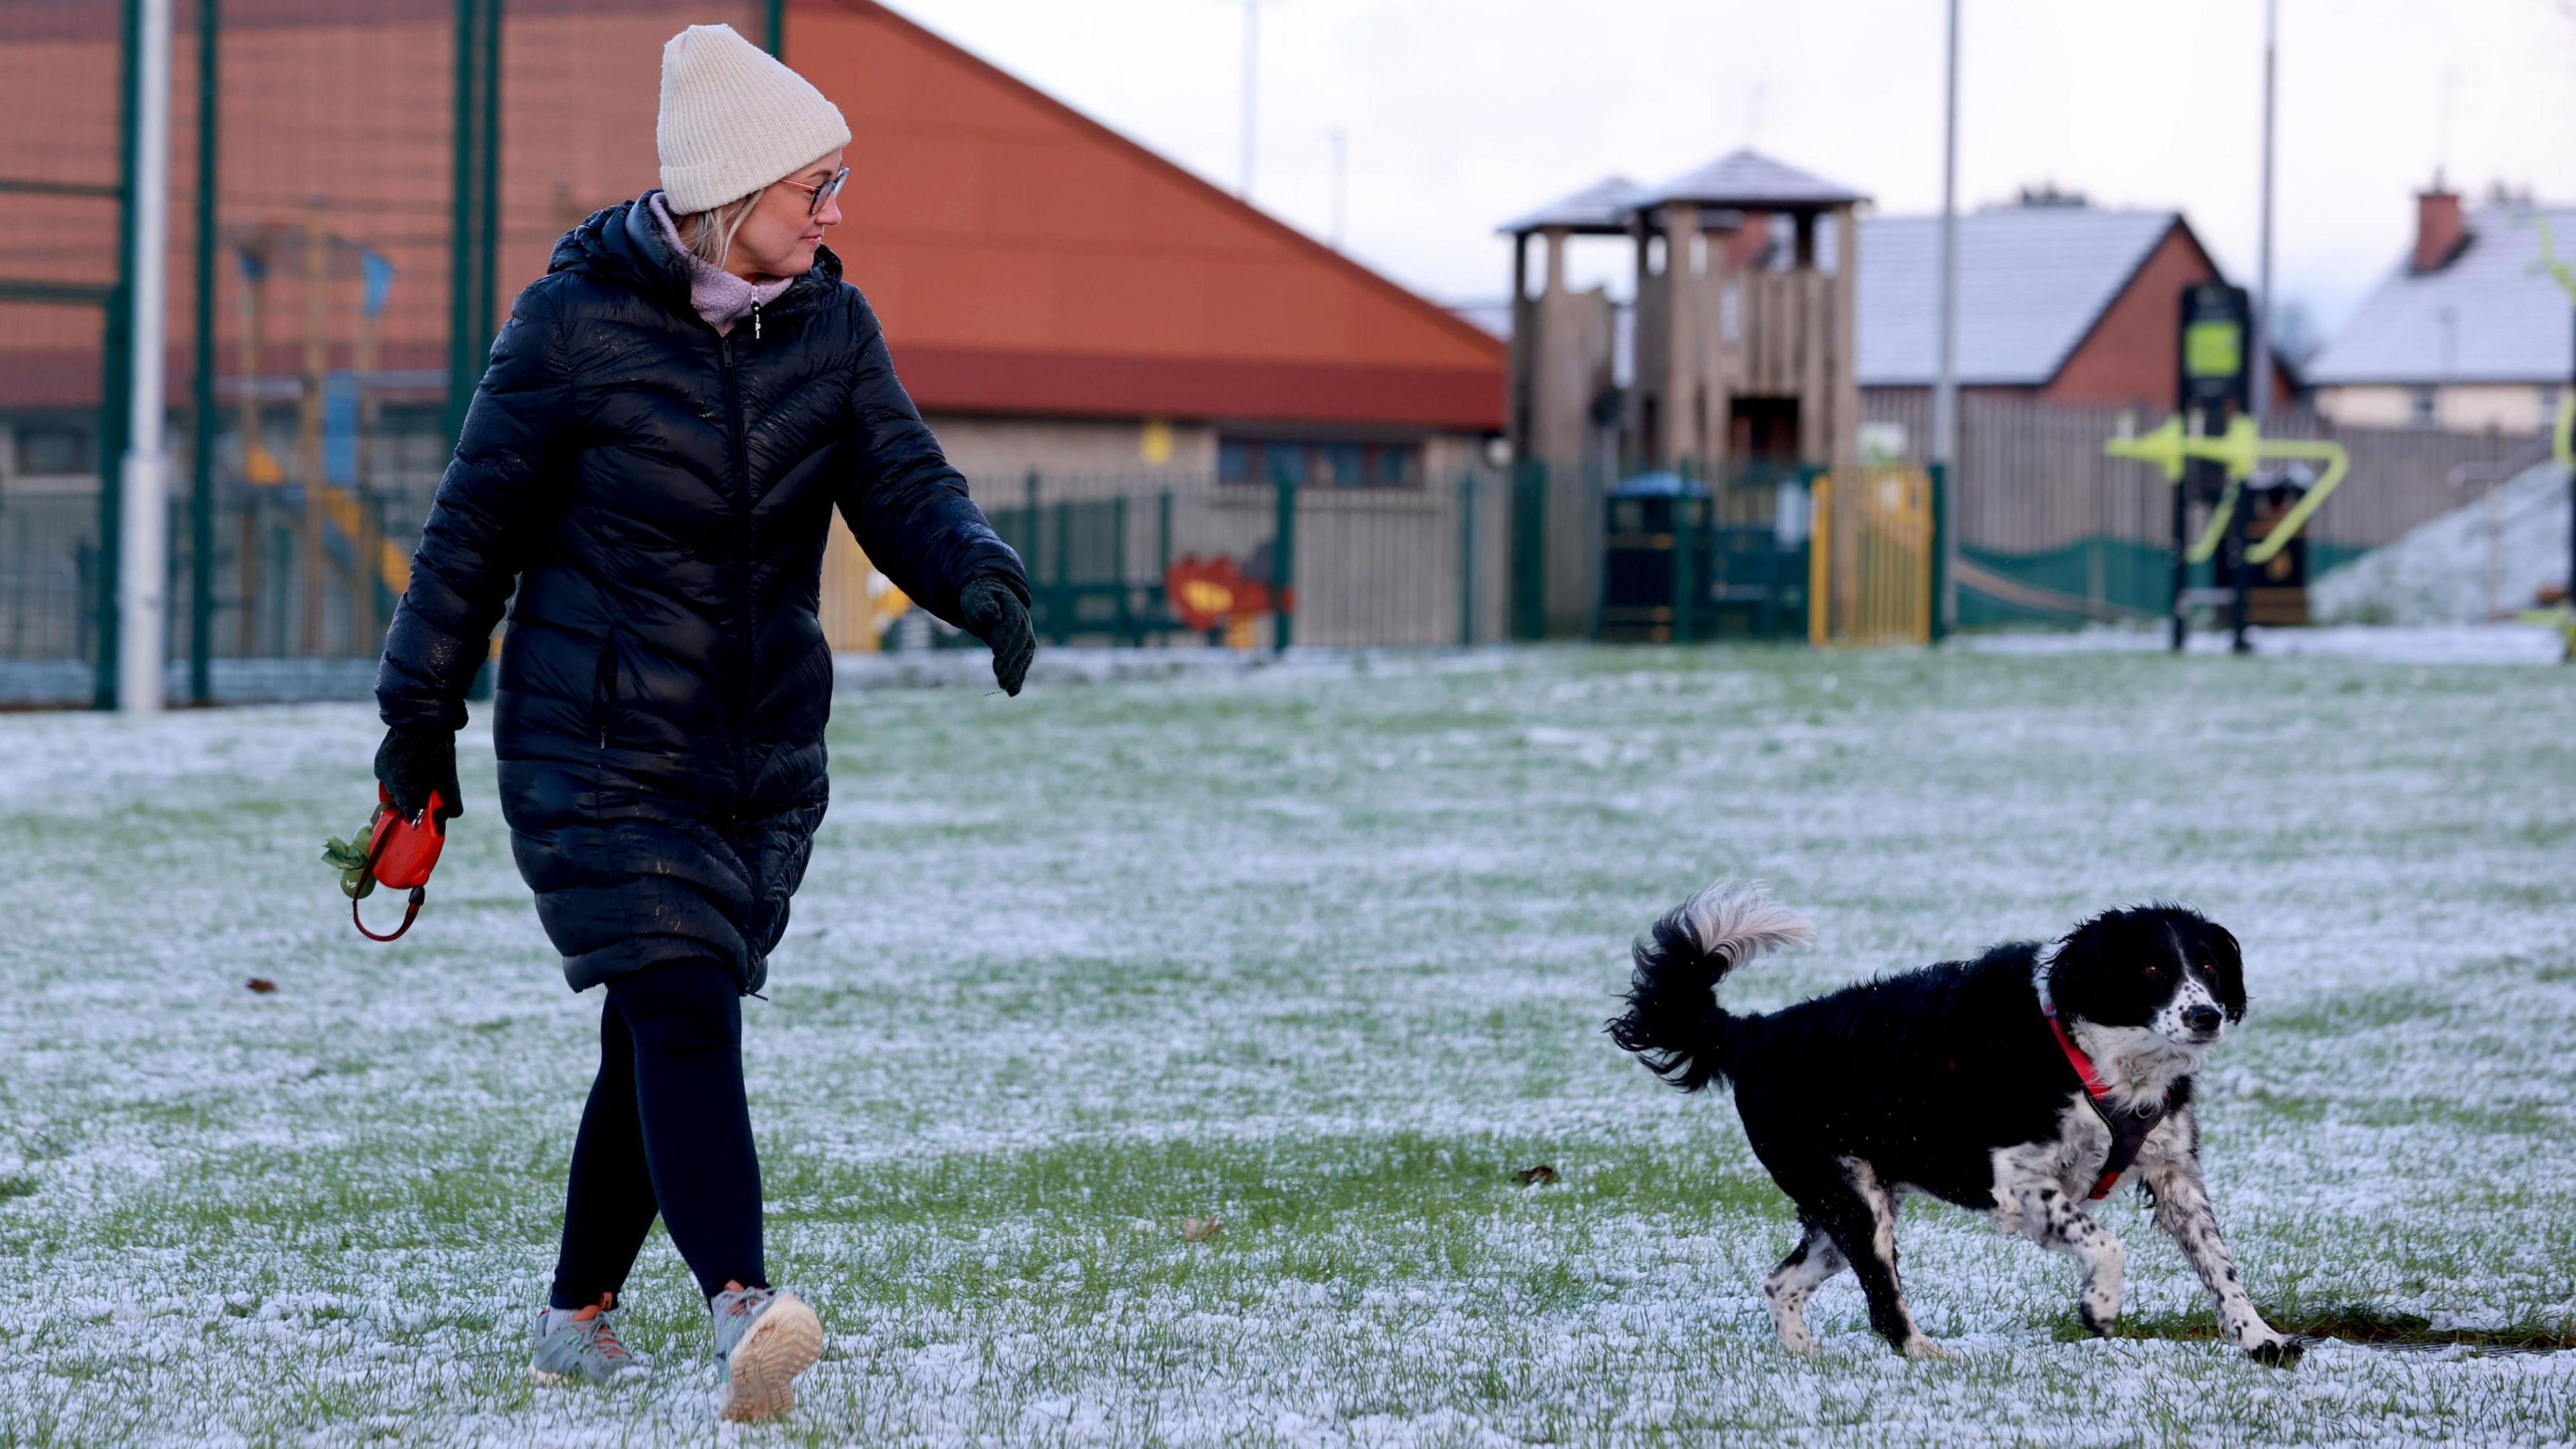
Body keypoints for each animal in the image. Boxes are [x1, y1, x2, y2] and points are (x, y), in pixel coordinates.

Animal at [1607, 876, 2298, 1361]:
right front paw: (2100, 1306)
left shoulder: (2176, 1174)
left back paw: (1806, 1355)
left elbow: (2221, 1267)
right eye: (2153, 968)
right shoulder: (2019, 1180)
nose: (2206, 1016)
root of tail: (1751, 1034)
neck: (2098, 1054)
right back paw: (1926, 1355)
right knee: (1883, 1304)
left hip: (1846, 1206)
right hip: (1853, 1200)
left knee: (1781, 1282)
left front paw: (2261, 1339)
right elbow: (2106, 1242)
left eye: (2209, 967)